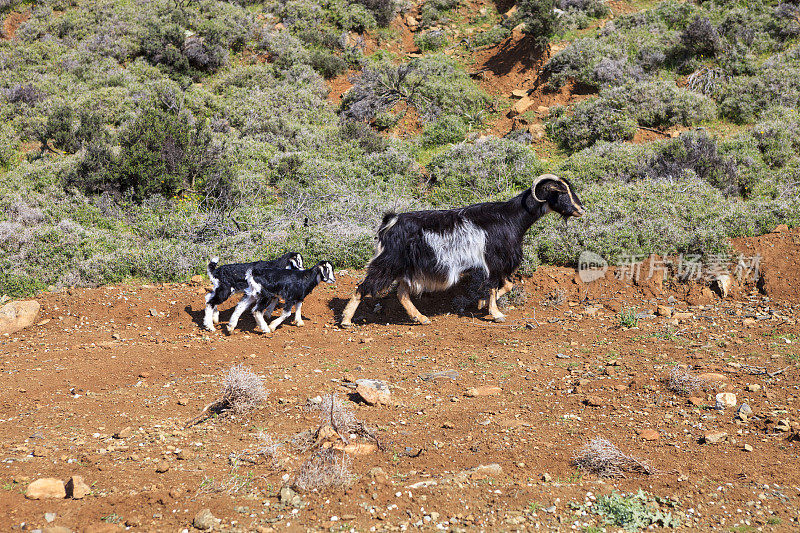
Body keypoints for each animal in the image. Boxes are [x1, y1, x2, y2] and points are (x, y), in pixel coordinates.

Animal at [340, 174, 584, 324]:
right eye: (561, 193)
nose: (581, 209)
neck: (510, 217)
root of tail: (390, 222)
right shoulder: (494, 261)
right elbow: (493, 286)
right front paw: (496, 313)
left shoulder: (499, 264)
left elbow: (507, 285)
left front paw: (481, 303)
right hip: (389, 263)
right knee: (362, 286)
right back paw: (346, 320)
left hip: (406, 268)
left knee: (401, 294)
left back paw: (421, 318)